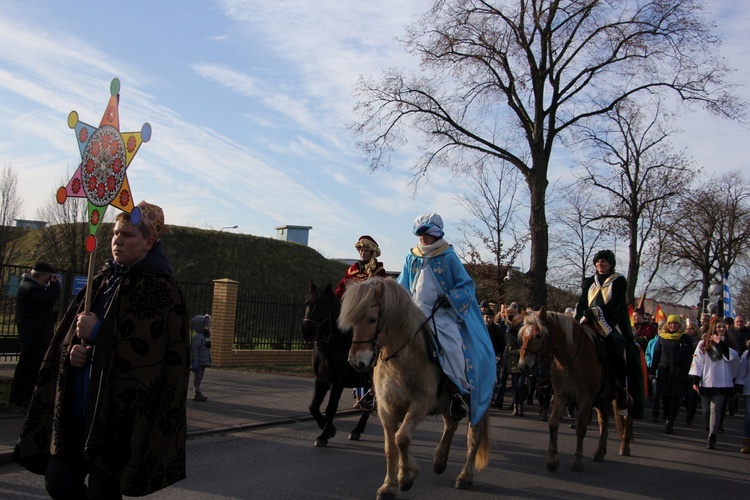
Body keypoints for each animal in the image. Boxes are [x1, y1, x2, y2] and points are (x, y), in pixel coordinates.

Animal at [300, 280, 370, 448]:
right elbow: (313, 407)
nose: (306, 331)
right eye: (307, 302)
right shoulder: (321, 380)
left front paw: (324, 435)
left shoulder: (337, 383)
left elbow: (331, 408)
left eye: (323, 304)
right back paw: (357, 430)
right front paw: (329, 429)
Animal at [340, 278, 494, 500]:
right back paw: (440, 460)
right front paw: (389, 486)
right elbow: (390, 447)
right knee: (451, 424)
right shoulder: (386, 408)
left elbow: (402, 438)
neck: (401, 359)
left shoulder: (421, 403)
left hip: (478, 403)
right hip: (447, 403)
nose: (356, 362)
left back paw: (464, 476)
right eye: (352, 322)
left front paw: (406, 477)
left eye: (372, 319)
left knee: (473, 438)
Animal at [516, 308, 636, 472]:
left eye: (538, 335)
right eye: (522, 335)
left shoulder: (586, 399)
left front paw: (577, 460)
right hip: (601, 399)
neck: (571, 359)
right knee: (604, 421)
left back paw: (625, 446)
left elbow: (580, 427)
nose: (523, 366)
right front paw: (552, 460)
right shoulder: (561, 396)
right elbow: (553, 423)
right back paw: (599, 452)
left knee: (627, 419)